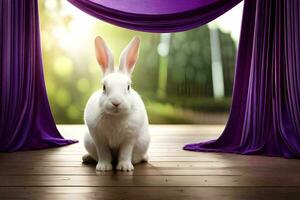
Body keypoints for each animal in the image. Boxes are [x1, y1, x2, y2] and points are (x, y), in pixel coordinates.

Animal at [82, 36, 150, 172]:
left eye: (128, 87)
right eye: (103, 87)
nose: (116, 102)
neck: (116, 116)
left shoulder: (128, 140)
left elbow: (125, 153)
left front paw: (125, 168)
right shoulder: (100, 140)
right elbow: (103, 154)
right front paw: (103, 168)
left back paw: (145, 158)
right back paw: (86, 157)